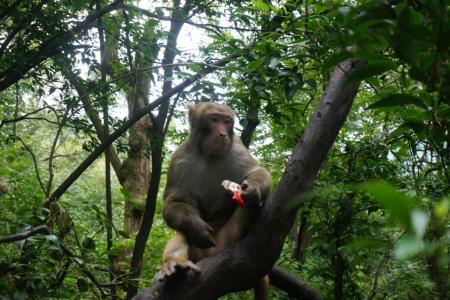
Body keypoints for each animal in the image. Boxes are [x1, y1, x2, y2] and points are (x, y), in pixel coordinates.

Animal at [156, 102, 270, 298]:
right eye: (214, 119)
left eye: (226, 121)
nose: (223, 133)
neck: (210, 154)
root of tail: (208, 255)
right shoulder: (180, 157)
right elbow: (177, 201)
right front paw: (196, 226)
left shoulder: (237, 148)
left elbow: (256, 171)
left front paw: (253, 189)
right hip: (197, 251)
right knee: (182, 232)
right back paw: (176, 264)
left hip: (228, 240)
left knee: (249, 206)